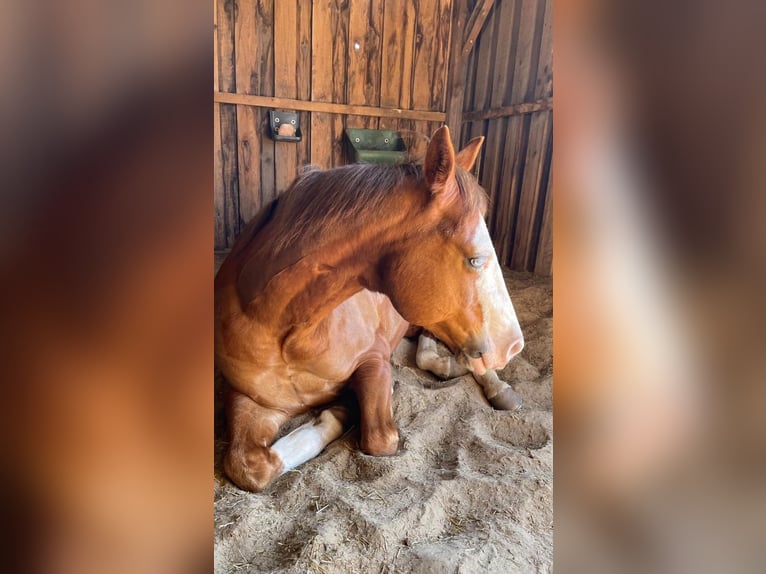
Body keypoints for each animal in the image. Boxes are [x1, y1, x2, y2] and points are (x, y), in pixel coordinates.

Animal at [214, 126, 524, 492]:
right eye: (475, 259)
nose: (514, 346)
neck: (284, 329)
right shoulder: (248, 398)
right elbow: (248, 467)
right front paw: (338, 412)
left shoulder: (374, 359)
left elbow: (379, 439)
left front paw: (342, 410)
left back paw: (498, 389)